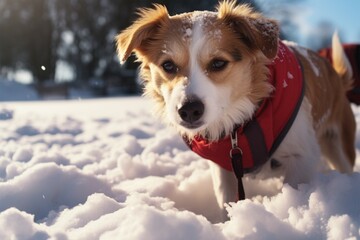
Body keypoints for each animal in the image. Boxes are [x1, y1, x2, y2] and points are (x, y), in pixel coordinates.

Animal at [115, 0, 354, 221]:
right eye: (168, 65)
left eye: (218, 63)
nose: (189, 110)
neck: (238, 122)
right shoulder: (224, 168)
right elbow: (226, 201)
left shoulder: (302, 157)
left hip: (340, 147)